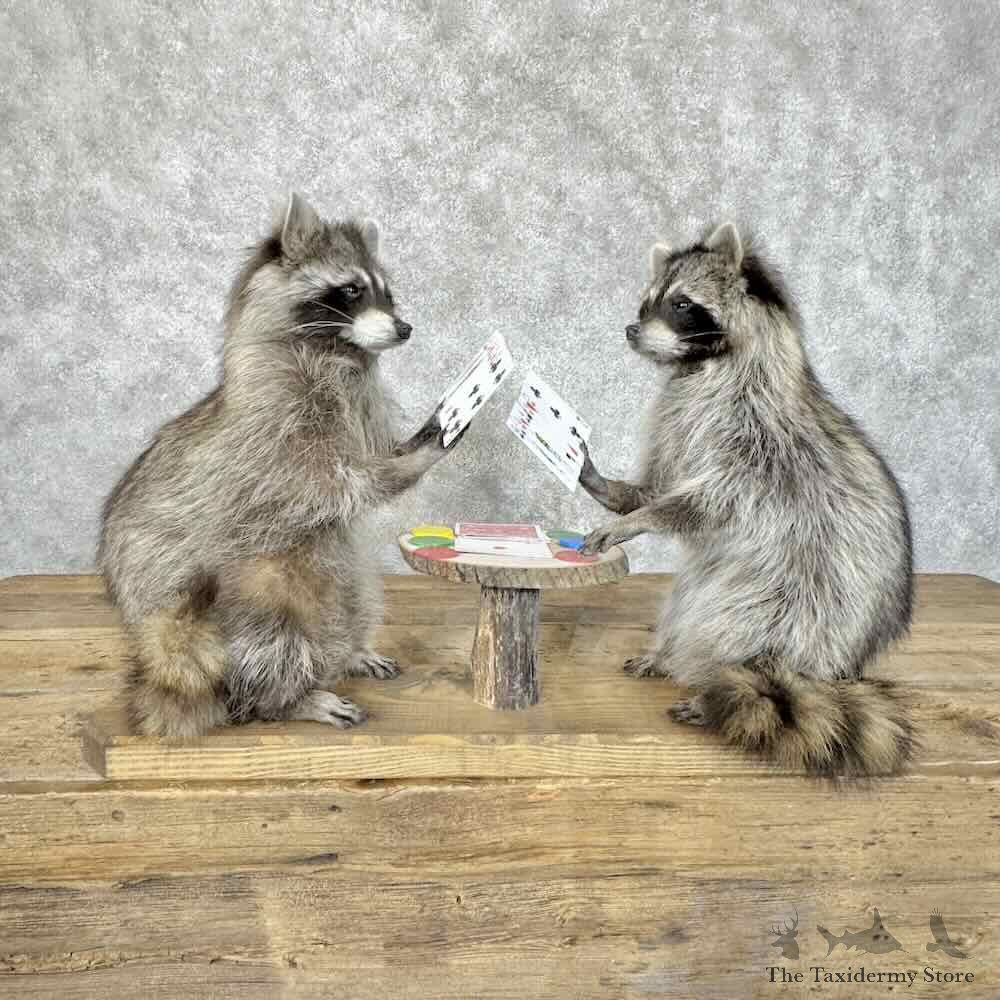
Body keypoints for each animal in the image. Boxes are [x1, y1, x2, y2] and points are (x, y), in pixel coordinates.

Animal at [99, 193, 461, 740]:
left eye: (388, 293)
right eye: (350, 289)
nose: (404, 328)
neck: (337, 350)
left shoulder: (359, 406)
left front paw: (403, 450)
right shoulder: (279, 426)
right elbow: (337, 484)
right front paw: (410, 463)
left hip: (338, 568)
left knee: (357, 597)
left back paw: (349, 651)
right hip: (241, 588)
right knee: (271, 640)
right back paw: (284, 699)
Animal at [580, 222, 915, 777]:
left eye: (682, 303)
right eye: (646, 302)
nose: (630, 329)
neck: (701, 367)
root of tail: (839, 666)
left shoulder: (757, 442)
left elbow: (709, 501)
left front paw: (642, 518)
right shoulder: (677, 421)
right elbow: (659, 482)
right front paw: (613, 489)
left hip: (804, 607)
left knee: (748, 634)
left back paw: (714, 679)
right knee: (688, 602)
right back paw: (669, 652)